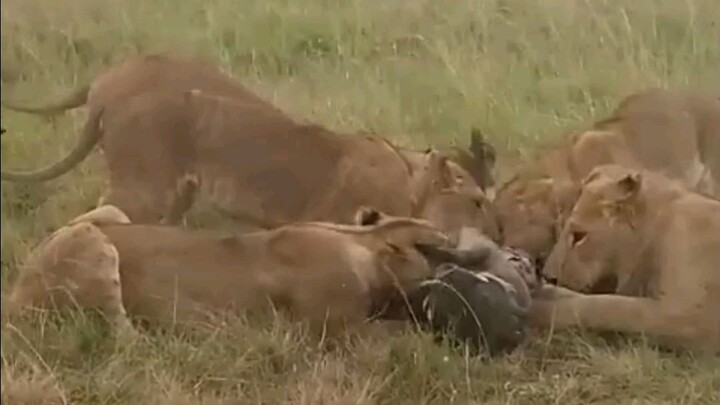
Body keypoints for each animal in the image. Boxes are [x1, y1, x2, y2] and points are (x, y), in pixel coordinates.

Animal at [1, 89, 500, 244]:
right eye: (477, 201)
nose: (497, 237)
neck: (413, 185)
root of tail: (107, 98)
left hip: (174, 197)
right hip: (142, 190)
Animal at [5, 204, 450, 340]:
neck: (362, 243)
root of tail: (12, 296)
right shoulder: (337, 331)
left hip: (110, 214)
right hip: (91, 240)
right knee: (123, 336)